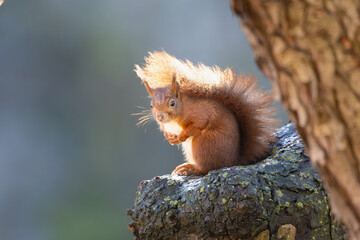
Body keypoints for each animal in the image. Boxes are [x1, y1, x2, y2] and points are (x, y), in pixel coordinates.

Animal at [134, 51, 276, 174]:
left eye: (172, 103)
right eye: (151, 105)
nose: (160, 116)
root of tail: (234, 161)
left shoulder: (200, 113)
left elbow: (198, 124)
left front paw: (181, 136)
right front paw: (169, 137)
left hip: (204, 144)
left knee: (207, 168)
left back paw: (192, 170)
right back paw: (188, 165)